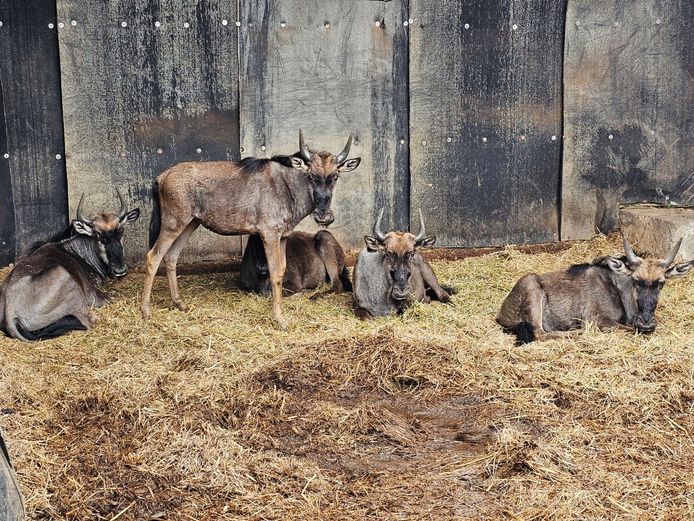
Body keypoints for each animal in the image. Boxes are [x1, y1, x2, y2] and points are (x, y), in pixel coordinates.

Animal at [141, 130, 361, 326]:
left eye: (335, 176)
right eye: (311, 176)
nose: (324, 215)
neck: (288, 189)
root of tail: (161, 177)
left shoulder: (283, 236)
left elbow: (281, 270)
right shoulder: (270, 233)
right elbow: (275, 273)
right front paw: (279, 319)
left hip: (189, 223)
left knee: (171, 257)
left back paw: (180, 304)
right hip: (173, 223)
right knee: (153, 257)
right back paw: (146, 311)